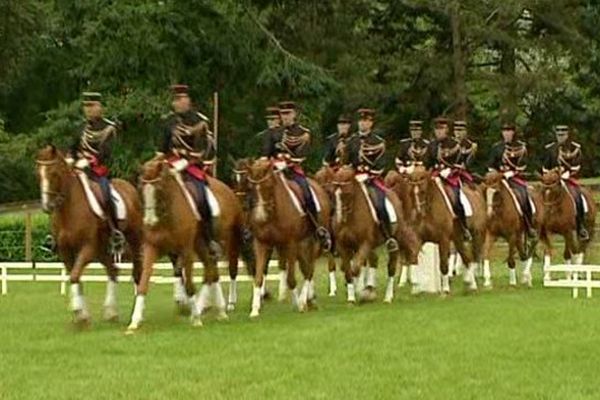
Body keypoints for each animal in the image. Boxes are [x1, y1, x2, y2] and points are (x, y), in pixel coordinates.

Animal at [35, 146, 143, 324]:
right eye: (38, 174)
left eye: (54, 173)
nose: (47, 206)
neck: (68, 210)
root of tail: (129, 187)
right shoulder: (65, 252)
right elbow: (75, 277)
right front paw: (82, 315)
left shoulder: (87, 248)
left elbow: (74, 276)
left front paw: (79, 311)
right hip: (102, 250)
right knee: (113, 271)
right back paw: (111, 312)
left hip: (133, 241)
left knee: (137, 273)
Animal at [126, 153, 244, 332]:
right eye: (140, 188)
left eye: (158, 189)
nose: (149, 221)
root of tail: (228, 191)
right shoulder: (151, 247)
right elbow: (143, 282)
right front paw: (134, 321)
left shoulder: (186, 250)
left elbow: (188, 283)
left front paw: (195, 319)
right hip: (201, 245)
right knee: (211, 268)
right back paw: (220, 310)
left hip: (222, 242)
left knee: (214, 270)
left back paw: (206, 308)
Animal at [244, 158, 330, 318]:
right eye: (251, 187)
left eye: (268, 185)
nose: (259, 217)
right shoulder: (261, 244)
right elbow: (258, 278)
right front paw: (255, 310)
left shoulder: (290, 243)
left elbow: (290, 279)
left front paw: (299, 305)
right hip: (301, 244)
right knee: (305, 268)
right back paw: (310, 300)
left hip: (313, 242)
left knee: (309, 270)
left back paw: (304, 300)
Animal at [330, 166, 420, 304]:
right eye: (334, 193)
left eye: (347, 194)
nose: (340, 219)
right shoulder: (343, 246)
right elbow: (347, 271)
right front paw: (352, 297)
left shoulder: (365, 243)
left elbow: (355, 268)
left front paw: (362, 292)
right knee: (374, 260)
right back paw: (371, 287)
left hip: (396, 238)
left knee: (393, 265)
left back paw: (388, 296)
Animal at [408, 166, 488, 294]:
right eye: (411, 192)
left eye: (422, 192)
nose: (418, 213)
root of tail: (477, 193)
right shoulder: (419, 239)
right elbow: (413, 260)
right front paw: (415, 288)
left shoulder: (443, 240)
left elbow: (444, 265)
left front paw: (445, 289)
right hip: (458, 239)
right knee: (467, 258)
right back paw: (470, 283)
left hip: (477, 234)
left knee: (474, 257)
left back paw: (472, 283)